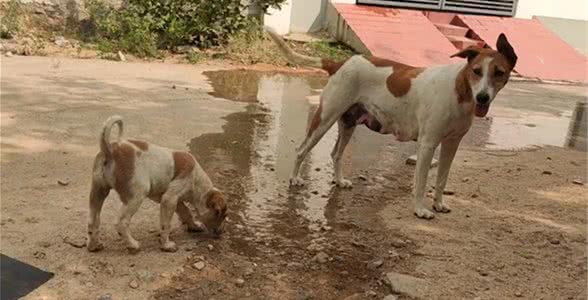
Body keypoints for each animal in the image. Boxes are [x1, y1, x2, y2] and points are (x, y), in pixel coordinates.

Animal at [87, 116, 227, 252]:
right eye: (221, 215)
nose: (222, 232)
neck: (197, 181)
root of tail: (110, 150)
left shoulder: (175, 201)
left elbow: (186, 213)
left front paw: (194, 226)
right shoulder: (169, 200)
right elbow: (166, 225)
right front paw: (167, 245)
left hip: (98, 192)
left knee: (93, 221)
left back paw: (94, 245)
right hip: (136, 195)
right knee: (121, 223)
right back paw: (133, 245)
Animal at [264, 26, 516, 218]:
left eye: (499, 72)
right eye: (476, 71)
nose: (482, 97)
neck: (460, 90)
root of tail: (341, 63)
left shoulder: (451, 145)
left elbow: (442, 179)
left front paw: (438, 204)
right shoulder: (428, 144)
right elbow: (421, 182)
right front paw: (420, 210)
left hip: (348, 124)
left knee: (336, 154)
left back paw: (339, 180)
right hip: (324, 119)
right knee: (301, 149)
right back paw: (295, 178)